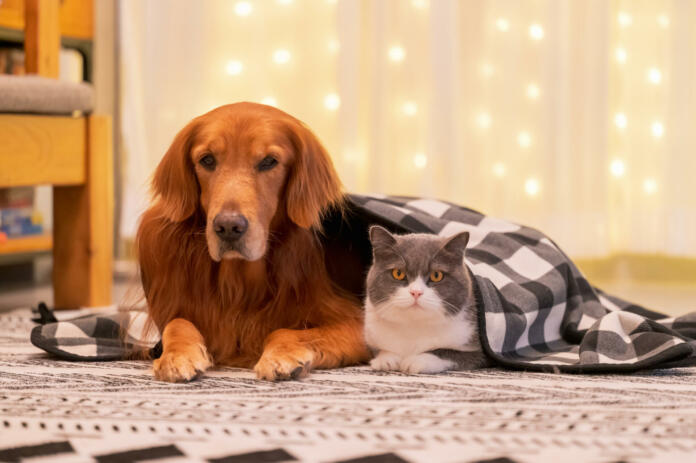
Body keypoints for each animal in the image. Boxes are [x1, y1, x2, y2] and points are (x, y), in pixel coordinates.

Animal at [138, 103, 372, 382]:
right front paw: (176, 356)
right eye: (207, 160)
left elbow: (284, 331)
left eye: (269, 161)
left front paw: (280, 356)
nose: (229, 228)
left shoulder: (359, 323)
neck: (239, 284)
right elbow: (177, 323)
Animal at [364, 227, 490, 376]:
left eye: (436, 275)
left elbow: (448, 352)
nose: (416, 292)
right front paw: (386, 359)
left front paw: (418, 360)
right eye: (398, 273)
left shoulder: (479, 350)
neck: (414, 325)